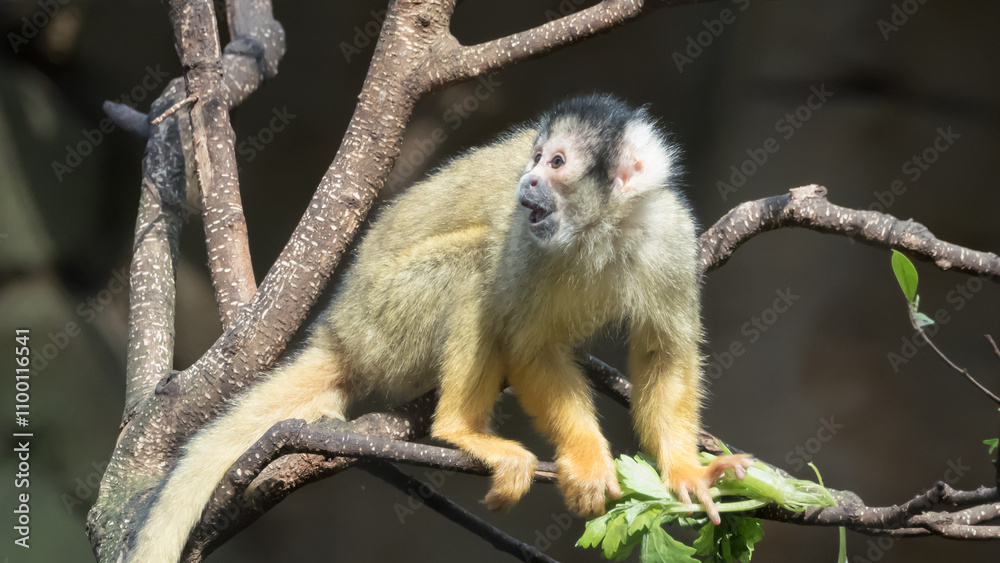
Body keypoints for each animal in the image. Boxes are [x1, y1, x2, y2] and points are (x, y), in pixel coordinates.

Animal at [129, 94, 752, 562]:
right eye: (535, 157)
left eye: (555, 162)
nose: (526, 181)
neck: (600, 228)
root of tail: (339, 328)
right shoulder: (526, 245)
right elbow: (531, 348)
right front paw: (589, 461)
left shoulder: (669, 233)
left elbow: (664, 352)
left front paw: (685, 473)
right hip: (385, 317)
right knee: (477, 264)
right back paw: (459, 428)